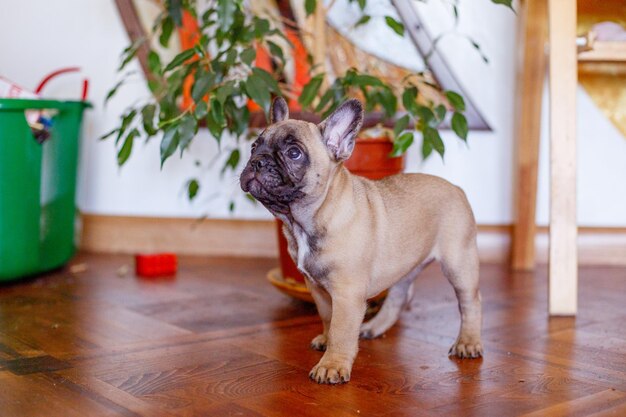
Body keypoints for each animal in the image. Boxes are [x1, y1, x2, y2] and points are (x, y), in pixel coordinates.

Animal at [240, 96, 482, 384]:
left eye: (294, 153)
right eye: (254, 147)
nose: (257, 161)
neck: (308, 219)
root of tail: (456, 188)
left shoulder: (347, 293)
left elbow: (342, 329)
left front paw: (332, 365)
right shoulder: (318, 288)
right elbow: (327, 318)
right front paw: (326, 340)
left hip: (458, 263)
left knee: (470, 302)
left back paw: (468, 342)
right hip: (405, 267)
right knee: (398, 297)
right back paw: (374, 327)